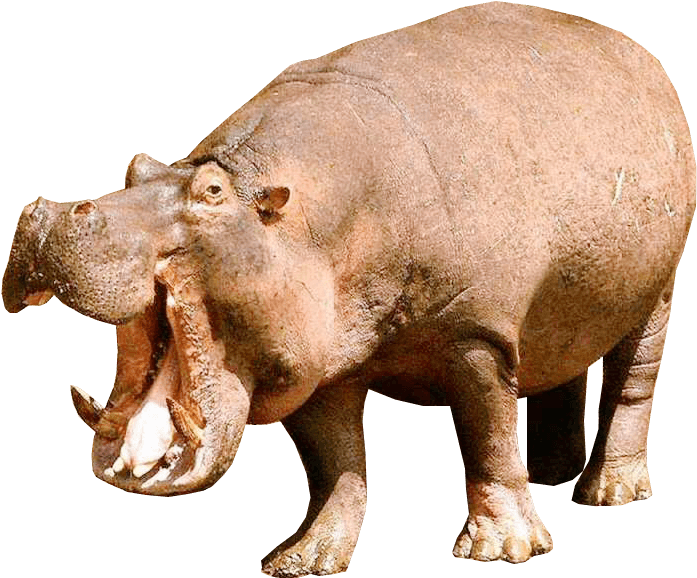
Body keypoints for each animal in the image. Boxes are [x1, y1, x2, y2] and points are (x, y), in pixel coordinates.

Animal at [3, 1, 695, 574]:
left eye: (212, 193)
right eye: (135, 167)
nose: (54, 213)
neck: (289, 212)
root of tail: (634, 50)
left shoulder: (476, 335)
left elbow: (487, 437)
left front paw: (501, 551)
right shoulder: (318, 362)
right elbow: (333, 463)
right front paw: (303, 559)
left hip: (659, 288)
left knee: (632, 381)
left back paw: (608, 493)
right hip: (561, 303)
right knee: (559, 364)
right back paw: (550, 477)